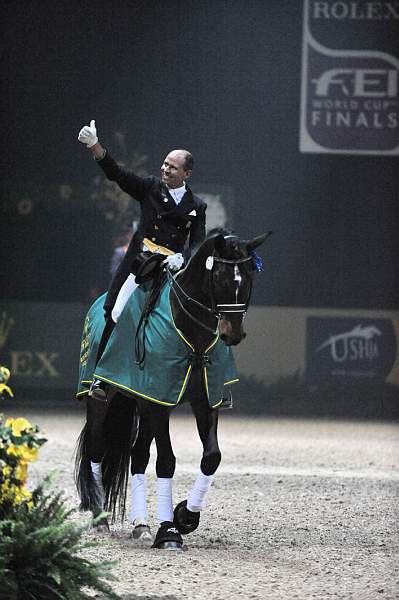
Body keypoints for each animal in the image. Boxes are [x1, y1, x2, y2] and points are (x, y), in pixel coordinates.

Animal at [75, 230, 268, 548]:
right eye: (221, 279)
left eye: (250, 277)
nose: (233, 333)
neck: (192, 333)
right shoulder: (158, 403)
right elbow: (166, 461)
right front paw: (169, 531)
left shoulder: (203, 400)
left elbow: (212, 457)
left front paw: (185, 516)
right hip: (103, 400)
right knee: (97, 447)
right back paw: (100, 518)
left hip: (142, 400)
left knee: (138, 455)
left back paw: (141, 524)